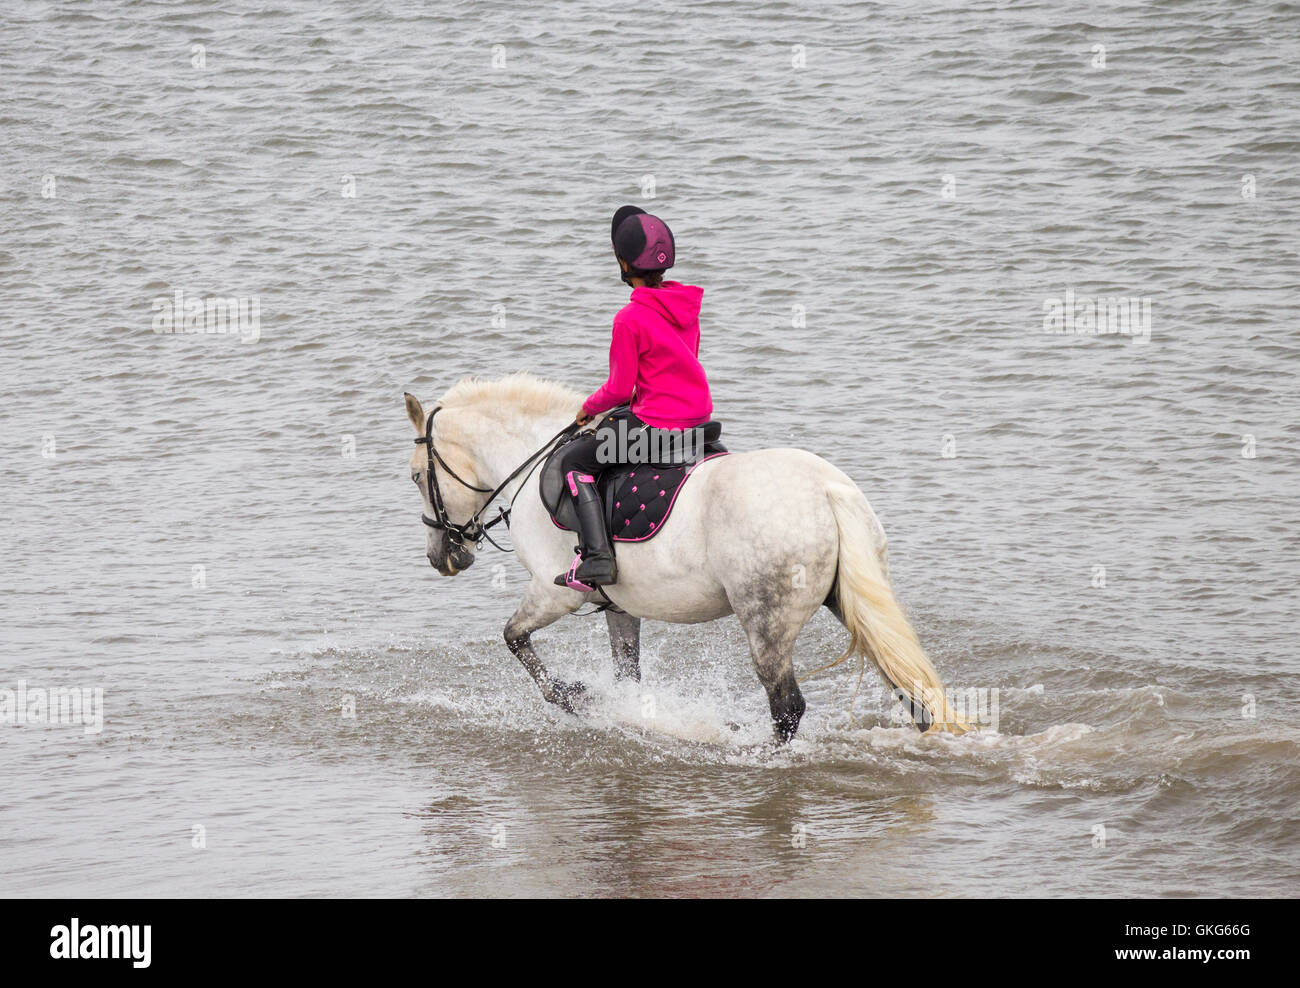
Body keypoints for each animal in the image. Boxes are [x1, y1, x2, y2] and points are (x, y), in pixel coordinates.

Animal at [400, 371, 972, 738]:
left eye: (415, 476)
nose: (442, 557)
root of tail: (828, 491)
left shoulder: (553, 592)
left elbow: (515, 640)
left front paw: (578, 699)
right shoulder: (617, 605)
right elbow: (626, 673)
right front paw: (625, 713)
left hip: (766, 621)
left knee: (786, 706)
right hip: (846, 601)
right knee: (909, 689)